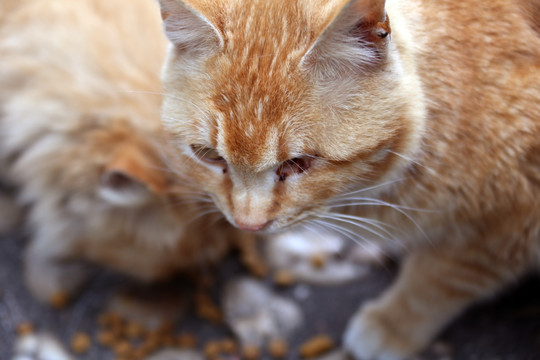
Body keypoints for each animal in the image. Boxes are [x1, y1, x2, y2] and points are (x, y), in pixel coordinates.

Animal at [156, 0, 540, 358]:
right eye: (209, 155)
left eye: (298, 163)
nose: (248, 224)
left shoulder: (509, 220)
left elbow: (442, 277)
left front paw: (393, 324)